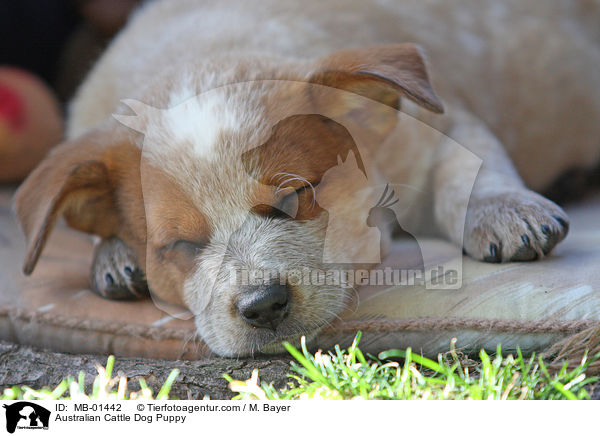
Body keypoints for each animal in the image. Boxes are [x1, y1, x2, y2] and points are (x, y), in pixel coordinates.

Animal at [10, 0, 600, 354]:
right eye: (179, 245)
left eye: (296, 197)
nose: (263, 305)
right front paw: (112, 254)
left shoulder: (440, 123)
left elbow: (472, 171)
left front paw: (506, 210)